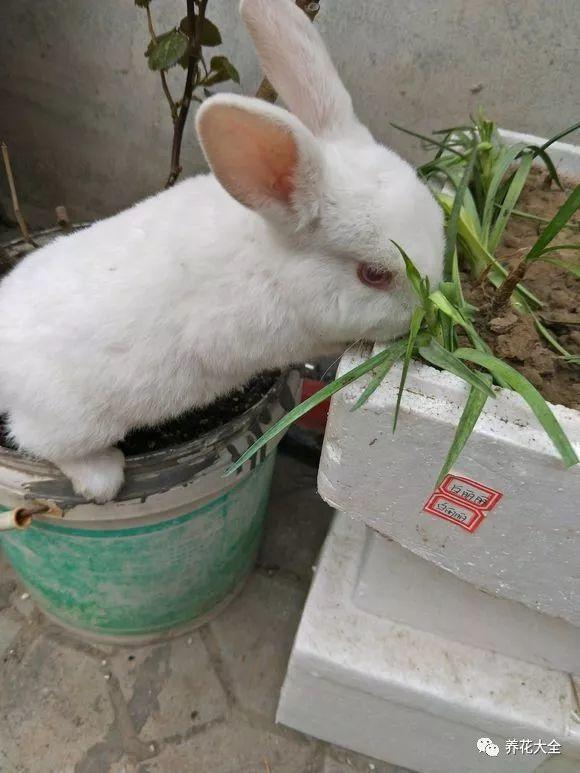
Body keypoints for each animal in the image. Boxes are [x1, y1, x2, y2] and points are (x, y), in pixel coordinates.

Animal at [0, 0, 444, 500]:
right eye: (373, 275)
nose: (427, 312)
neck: (273, 262)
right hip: (74, 420)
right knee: (40, 441)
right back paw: (102, 478)